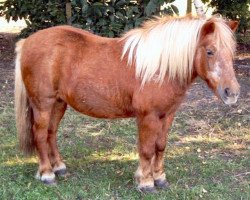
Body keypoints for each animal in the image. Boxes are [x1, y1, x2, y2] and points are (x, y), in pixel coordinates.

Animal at [14, 16, 239, 192]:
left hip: (59, 104)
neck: (160, 69)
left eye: (231, 53)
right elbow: (147, 149)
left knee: (51, 133)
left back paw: (58, 167)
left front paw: (159, 178)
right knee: (40, 135)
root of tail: (27, 42)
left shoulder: (167, 115)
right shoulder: (148, 117)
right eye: (210, 51)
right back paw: (47, 174)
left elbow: (160, 146)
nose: (232, 93)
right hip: (43, 105)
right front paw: (146, 182)